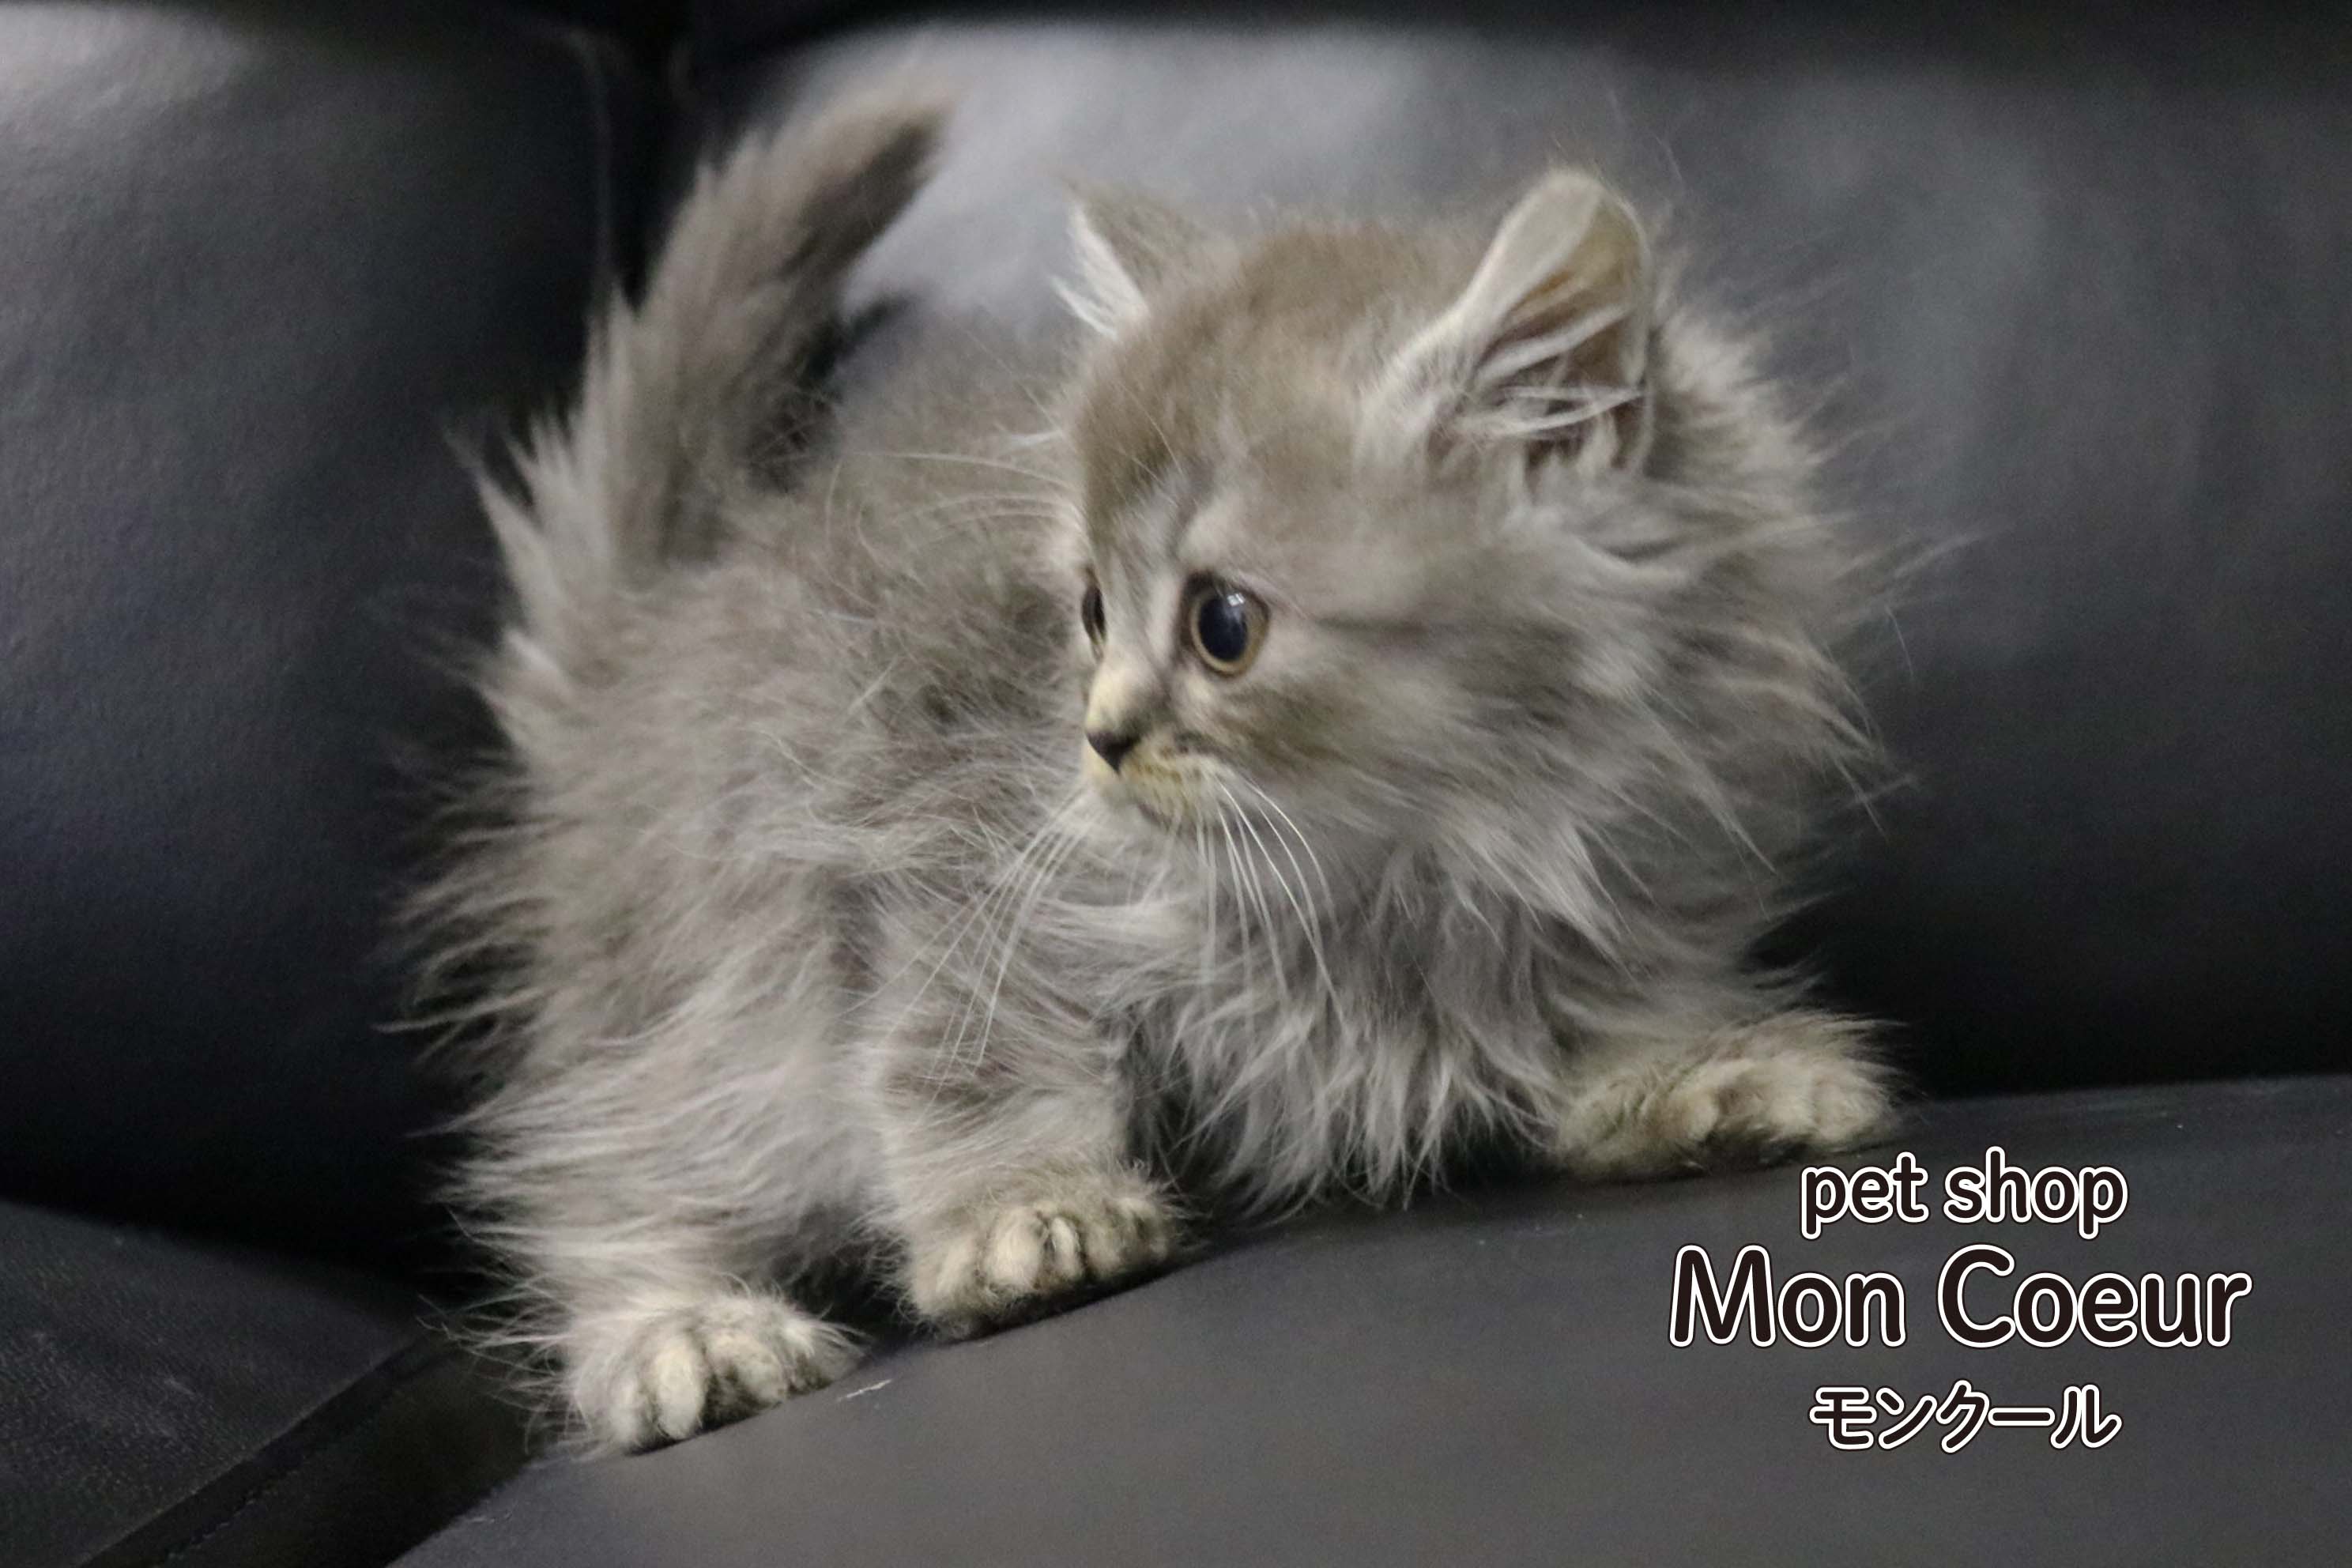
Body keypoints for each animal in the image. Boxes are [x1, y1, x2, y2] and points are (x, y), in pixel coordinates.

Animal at [420, 89, 1896, 1454]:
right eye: (1088, 610)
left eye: (1221, 625)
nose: (1102, 734)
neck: (1409, 864)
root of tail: (633, 655)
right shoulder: (953, 857)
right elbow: (965, 1059)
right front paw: (1022, 1211)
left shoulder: (1638, 863)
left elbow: (1612, 1008)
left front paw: (1701, 1075)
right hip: (715, 994)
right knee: (598, 1184)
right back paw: (680, 1331)